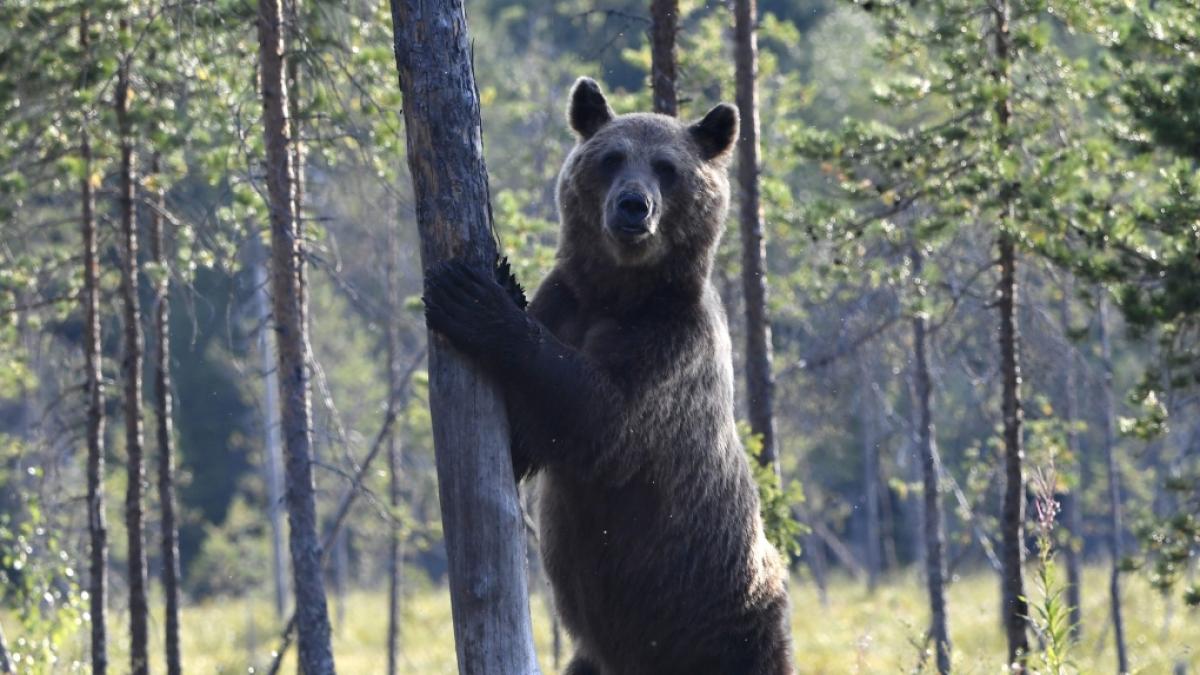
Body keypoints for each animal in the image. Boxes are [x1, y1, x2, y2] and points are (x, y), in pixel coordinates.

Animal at [423, 77, 793, 675]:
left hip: (730, 622)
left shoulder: (670, 348)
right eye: (612, 157)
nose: (632, 205)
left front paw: (472, 297)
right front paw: (498, 278)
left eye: (667, 166)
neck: (619, 293)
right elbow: (524, 442)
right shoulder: (570, 302)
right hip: (594, 655)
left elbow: (604, 417)